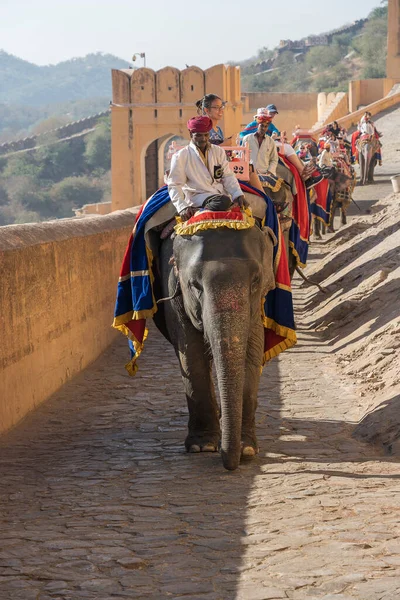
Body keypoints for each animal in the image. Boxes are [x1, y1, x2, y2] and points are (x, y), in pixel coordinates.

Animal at [153, 204, 278, 472]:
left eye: (255, 281)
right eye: (195, 285)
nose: (231, 463)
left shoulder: (257, 305)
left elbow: (252, 350)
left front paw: (247, 448)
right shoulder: (173, 290)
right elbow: (191, 354)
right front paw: (202, 447)